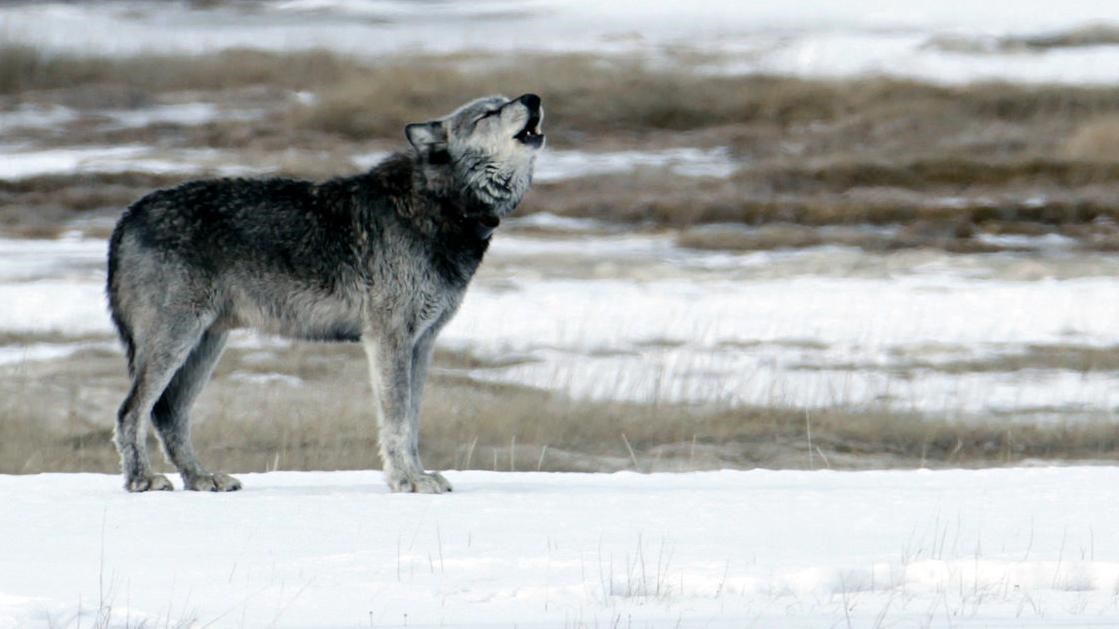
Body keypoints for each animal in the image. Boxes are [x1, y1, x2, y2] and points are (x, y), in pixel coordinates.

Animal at [106, 91, 543, 490]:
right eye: (489, 112)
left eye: (507, 99)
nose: (533, 98)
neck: (441, 203)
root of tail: (128, 214)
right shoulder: (389, 339)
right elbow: (397, 420)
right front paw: (407, 481)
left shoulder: (423, 343)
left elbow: (413, 420)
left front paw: (418, 475)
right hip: (175, 342)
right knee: (131, 411)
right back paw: (142, 480)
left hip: (205, 345)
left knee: (168, 413)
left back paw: (201, 478)